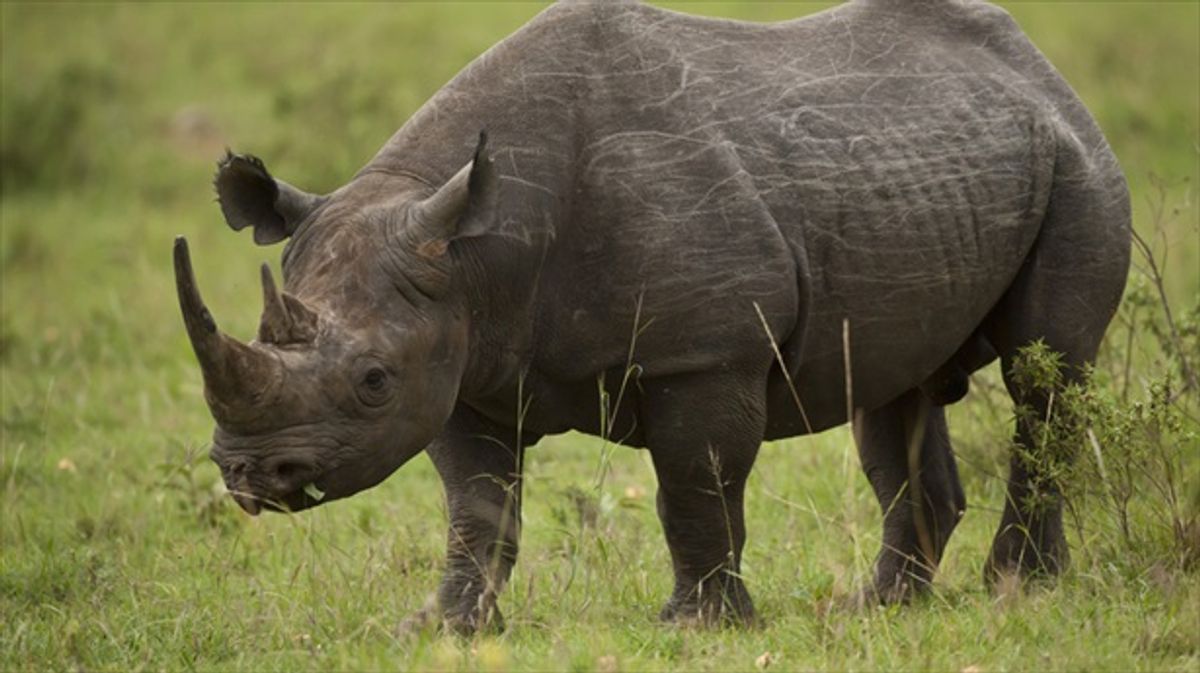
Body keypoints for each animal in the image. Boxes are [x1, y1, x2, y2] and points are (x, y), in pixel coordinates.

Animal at [175, 0, 1130, 631]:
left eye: (371, 380)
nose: (251, 474)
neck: (477, 252)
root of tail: (1038, 67)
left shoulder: (703, 352)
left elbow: (694, 484)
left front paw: (698, 625)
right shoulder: (458, 361)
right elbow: (477, 507)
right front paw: (445, 626)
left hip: (1078, 160)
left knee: (1043, 372)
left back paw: (1019, 587)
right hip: (932, 167)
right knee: (891, 394)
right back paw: (883, 606)